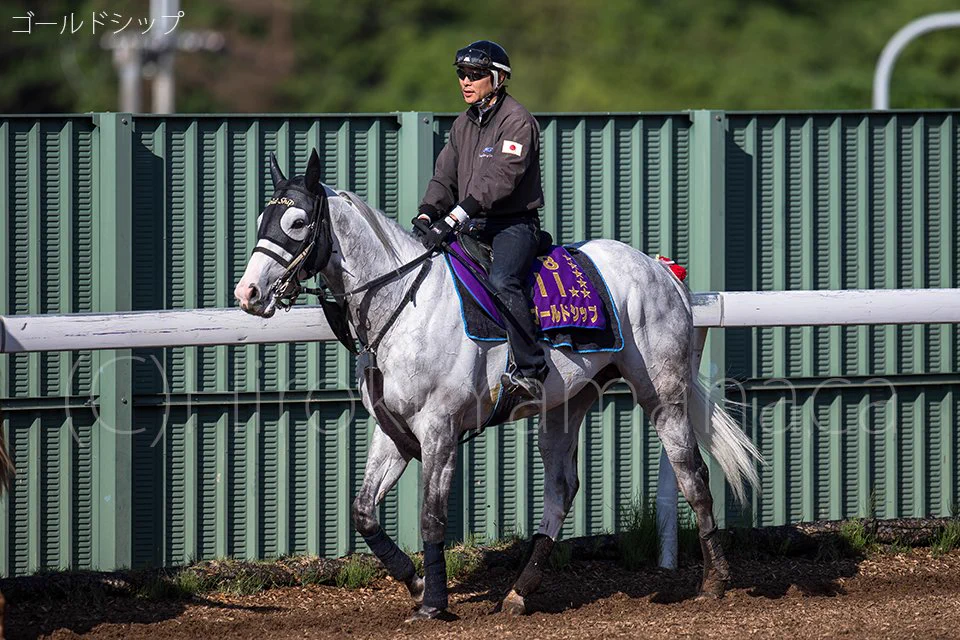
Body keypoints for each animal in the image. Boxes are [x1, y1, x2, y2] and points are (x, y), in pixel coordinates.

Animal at [234, 149, 762, 621]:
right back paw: (519, 593)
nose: (248, 293)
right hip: (566, 404)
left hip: (663, 395)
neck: (404, 303)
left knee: (692, 472)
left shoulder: (439, 431)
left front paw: (433, 603)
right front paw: (417, 584)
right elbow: (363, 511)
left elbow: (431, 517)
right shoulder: (393, 432)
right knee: (561, 490)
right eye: (262, 217)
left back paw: (715, 581)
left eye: (298, 222)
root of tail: (662, 270)